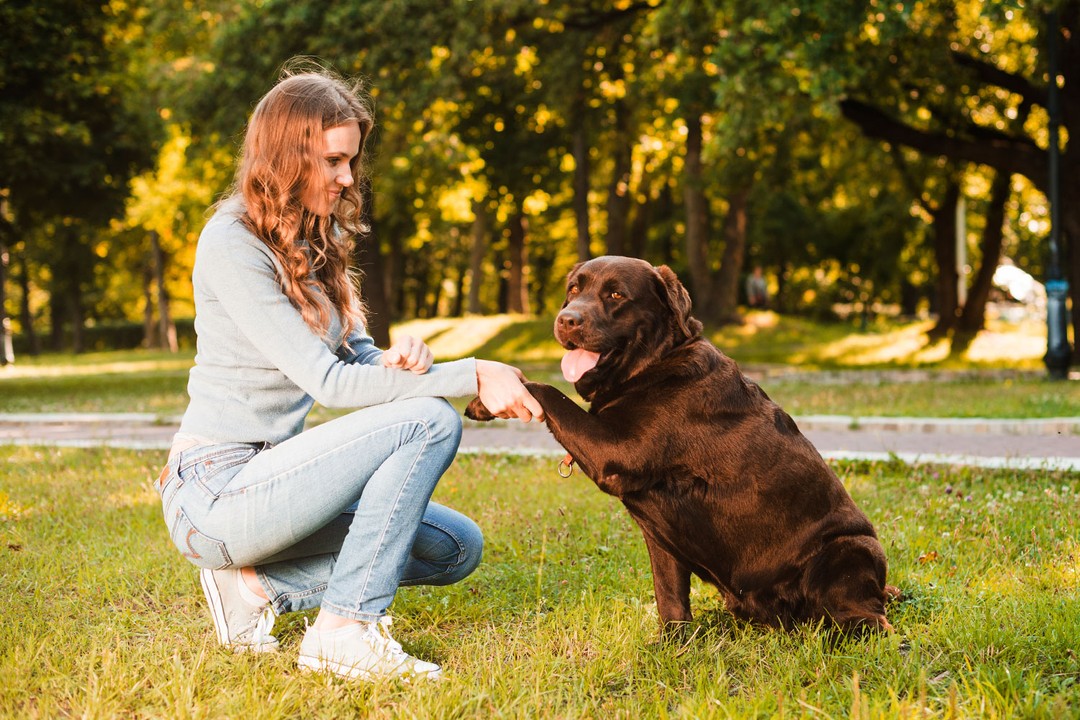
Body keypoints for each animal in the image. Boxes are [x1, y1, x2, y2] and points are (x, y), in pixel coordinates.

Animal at [468, 255, 898, 634]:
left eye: (616, 295)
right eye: (574, 289)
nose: (567, 319)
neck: (653, 366)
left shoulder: (618, 450)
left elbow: (548, 391)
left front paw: (488, 394)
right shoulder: (659, 535)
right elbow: (670, 595)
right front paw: (673, 646)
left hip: (850, 548)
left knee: (867, 620)